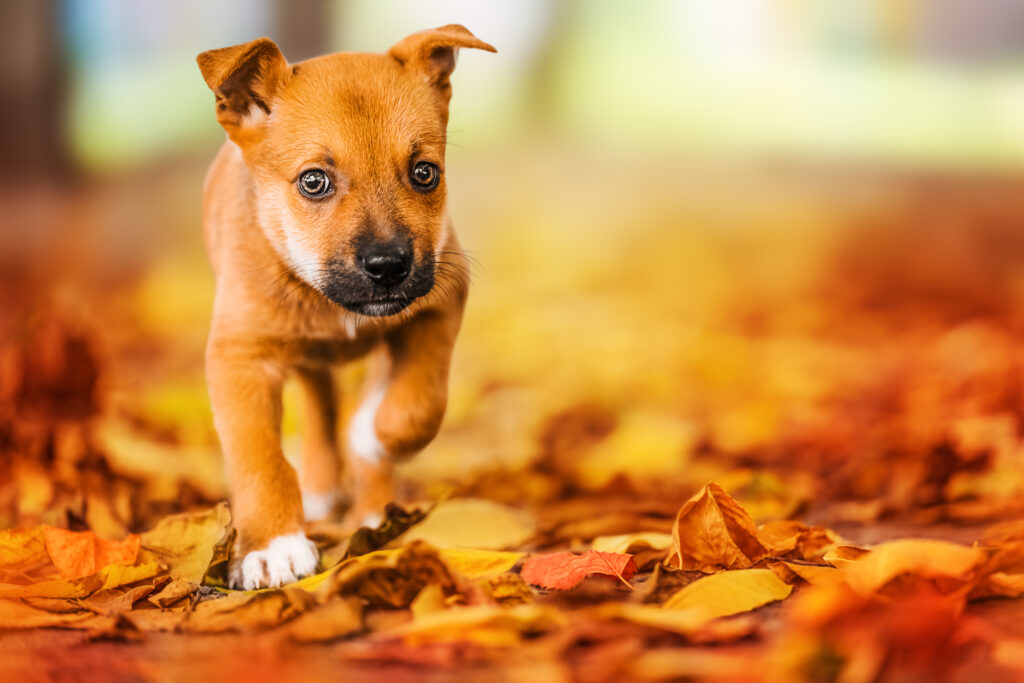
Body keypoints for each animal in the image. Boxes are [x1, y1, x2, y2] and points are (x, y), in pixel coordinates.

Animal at [196, 25, 495, 593]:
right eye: (314, 181)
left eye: (425, 173)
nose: (389, 266)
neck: (324, 297)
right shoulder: (239, 357)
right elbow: (258, 456)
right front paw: (273, 547)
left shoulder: (440, 302)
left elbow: (414, 409)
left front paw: (370, 436)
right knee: (318, 404)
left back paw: (373, 512)